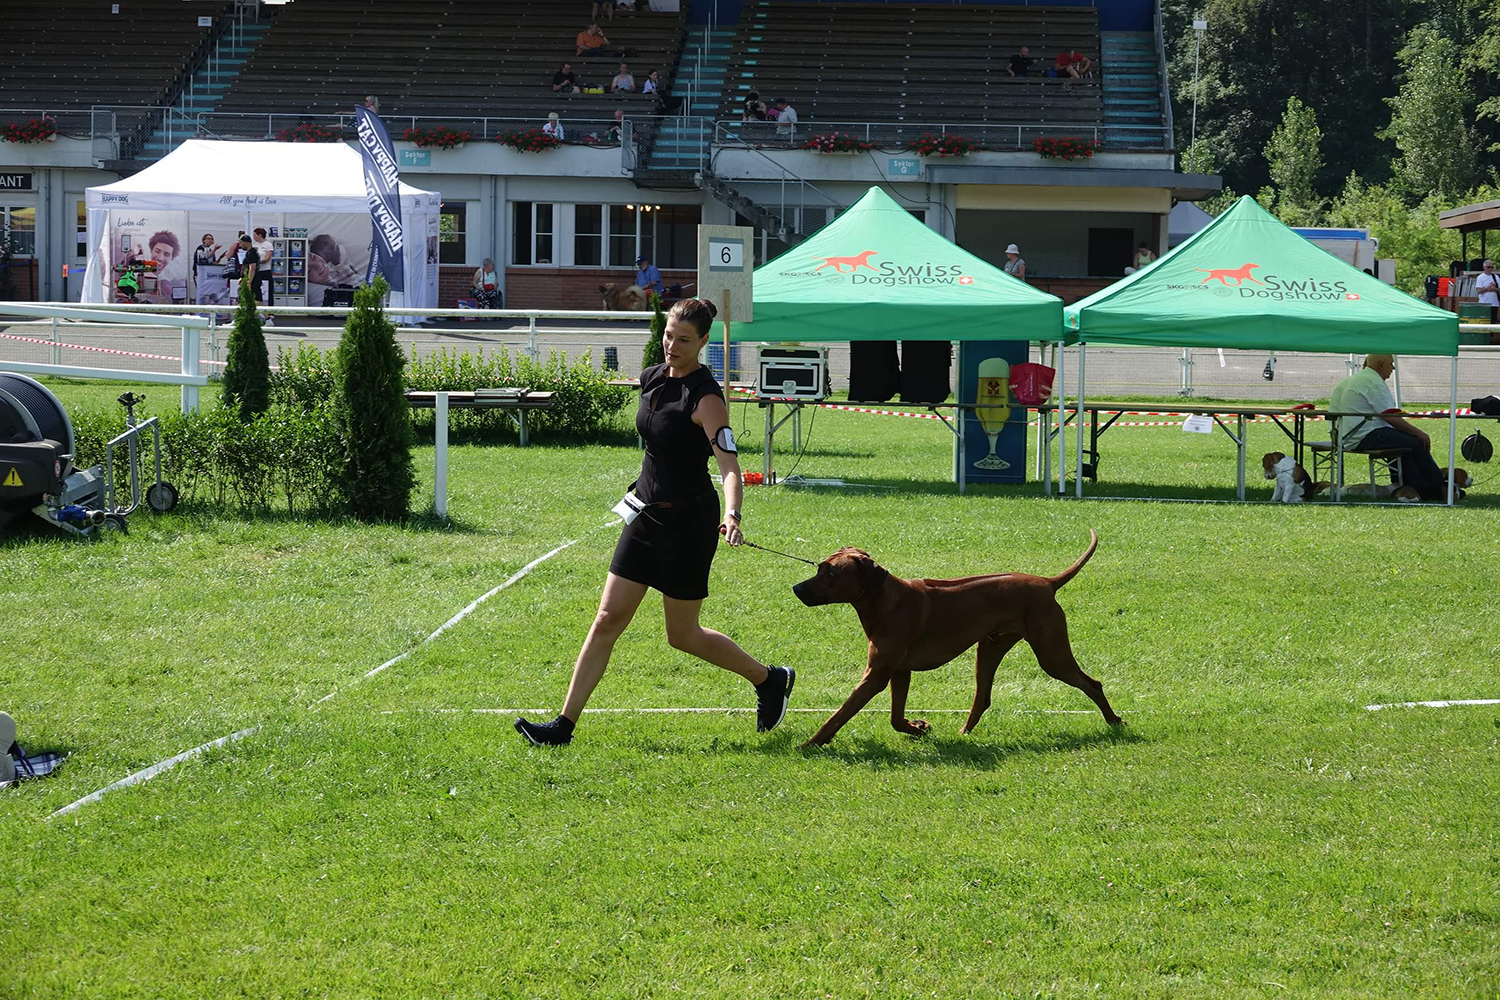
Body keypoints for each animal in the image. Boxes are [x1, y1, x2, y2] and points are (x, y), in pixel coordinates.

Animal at [792, 536, 1122, 746]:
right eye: (819, 568)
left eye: (831, 574)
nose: (796, 588)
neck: (884, 600)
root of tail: (1046, 582)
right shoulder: (900, 671)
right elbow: (895, 717)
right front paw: (917, 727)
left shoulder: (876, 675)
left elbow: (840, 714)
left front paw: (812, 743)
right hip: (989, 648)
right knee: (983, 698)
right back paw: (964, 732)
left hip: (1052, 655)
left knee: (1092, 684)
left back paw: (1114, 721)